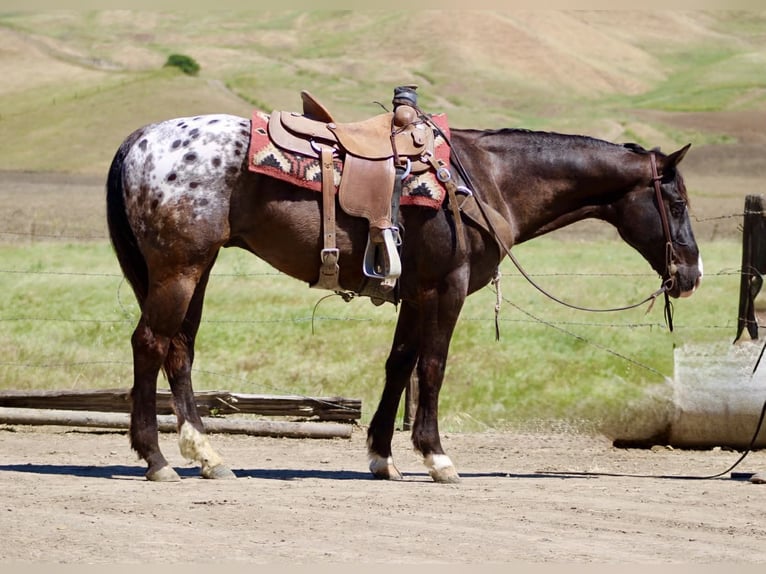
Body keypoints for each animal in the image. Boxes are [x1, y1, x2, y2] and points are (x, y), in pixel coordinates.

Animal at [105, 105, 702, 483]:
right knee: (150, 344)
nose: (692, 273)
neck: (485, 180)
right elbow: (433, 367)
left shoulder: (415, 293)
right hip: (179, 269)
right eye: (676, 203)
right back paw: (157, 460)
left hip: (195, 269)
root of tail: (139, 140)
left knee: (179, 349)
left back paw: (207, 456)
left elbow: (399, 365)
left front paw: (382, 458)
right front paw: (437, 458)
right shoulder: (447, 288)